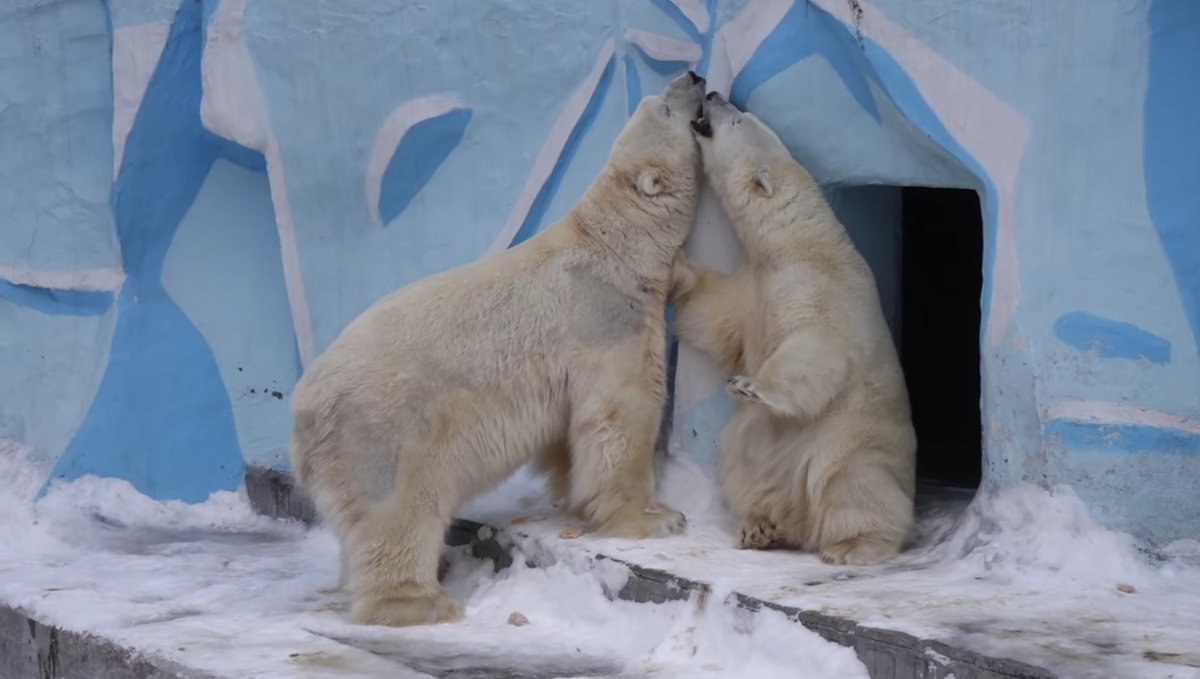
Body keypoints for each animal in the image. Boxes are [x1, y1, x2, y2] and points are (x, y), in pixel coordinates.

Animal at [289, 71, 707, 627]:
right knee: (396, 511)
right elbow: (622, 413)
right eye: (664, 108)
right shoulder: (606, 314)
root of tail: (303, 414)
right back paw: (422, 600)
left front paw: (575, 497)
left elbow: (568, 431)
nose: (693, 76)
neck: (617, 243)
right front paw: (657, 517)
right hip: (380, 433)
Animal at [672, 92, 917, 566]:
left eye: (739, 119)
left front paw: (749, 386)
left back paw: (852, 546)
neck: (797, 243)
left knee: (853, 486)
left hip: (850, 447)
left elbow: (814, 350)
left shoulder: (822, 291)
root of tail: (798, 514)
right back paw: (759, 526)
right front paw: (674, 267)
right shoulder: (755, 290)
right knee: (741, 467)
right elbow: (715, 312)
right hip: (754, 457)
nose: (713, 94)